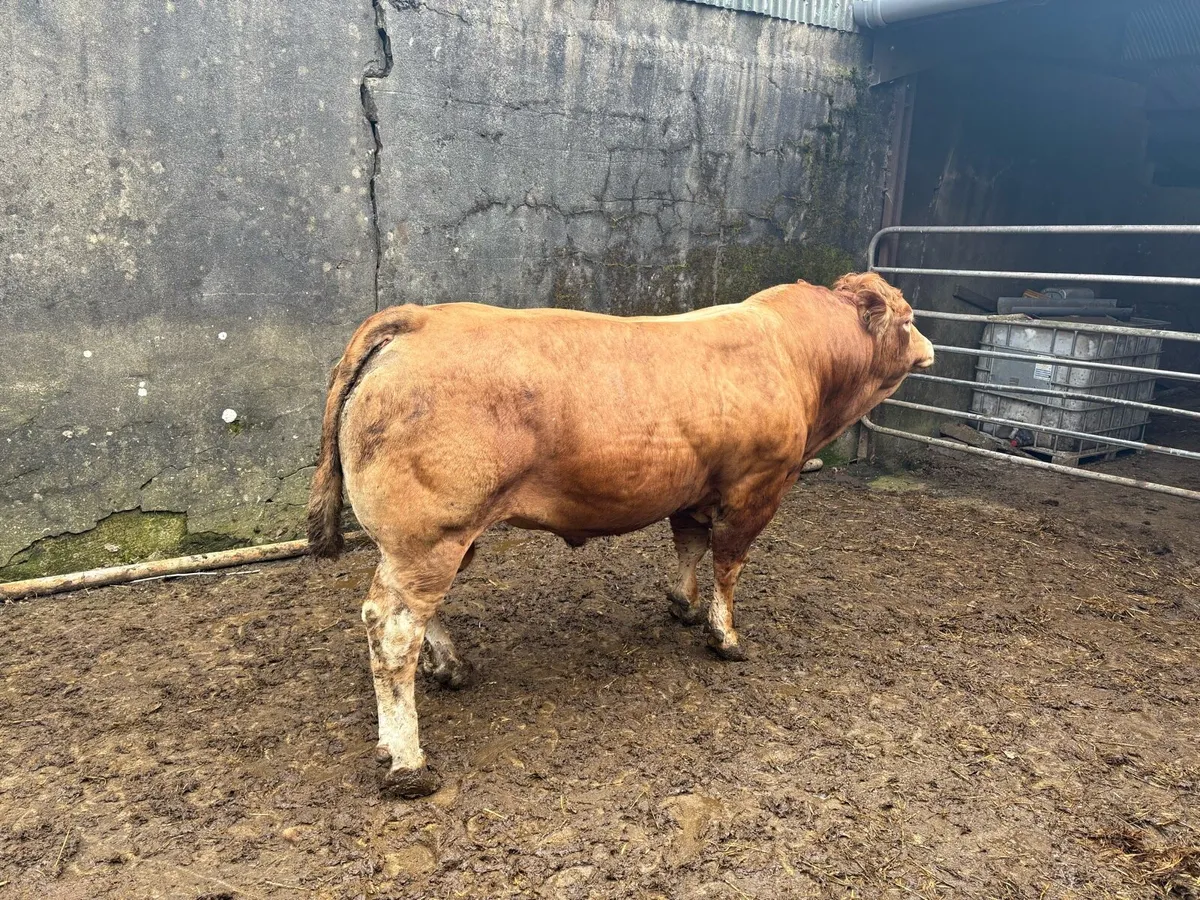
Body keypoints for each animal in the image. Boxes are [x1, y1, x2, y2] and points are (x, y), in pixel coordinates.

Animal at [307, 272, 934, 798]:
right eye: (907, 319)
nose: (932, 348)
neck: (794, 353)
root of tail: (418, 317)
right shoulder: (757, 487)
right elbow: (728, 564)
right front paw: (725, 636)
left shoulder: (693, 489)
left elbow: (689, 546)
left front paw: (683, 605)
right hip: (431, 534)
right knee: (391, 628)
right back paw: (408, 763)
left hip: (432, 542)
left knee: (416, 614)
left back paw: (450, 670)